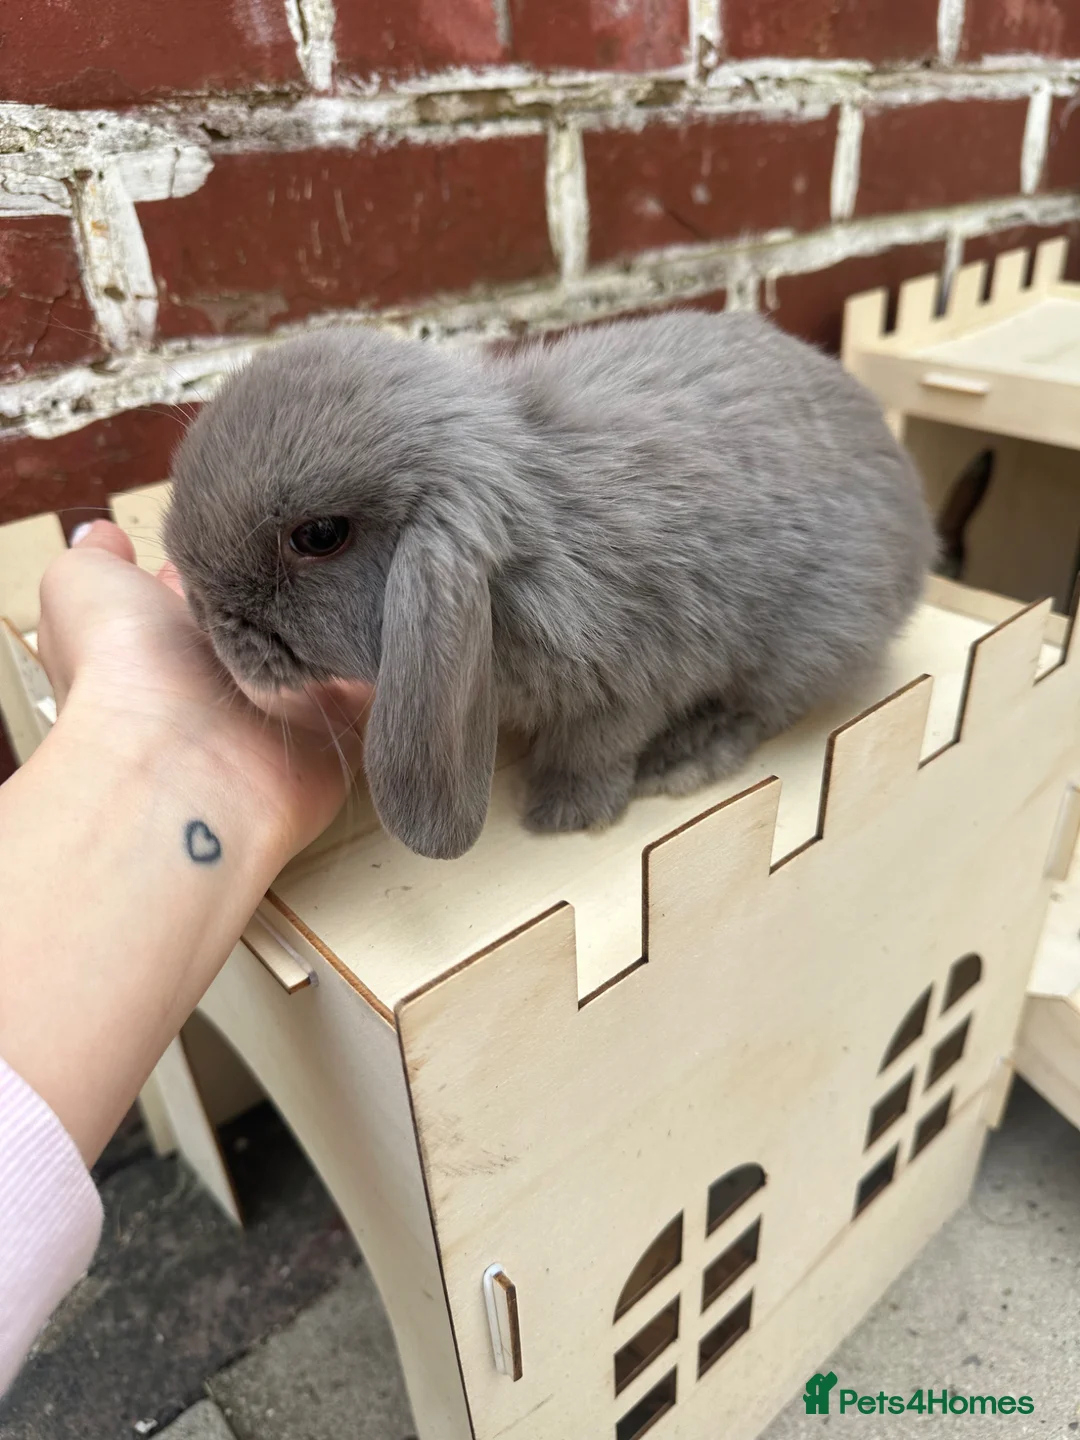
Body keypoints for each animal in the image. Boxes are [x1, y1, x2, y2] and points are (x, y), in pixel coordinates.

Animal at [163, 309, 936, 862]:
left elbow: (592, 749)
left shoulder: (633, 683)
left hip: (810, 638)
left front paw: (562, 814)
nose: (206, 618)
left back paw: (685, 755)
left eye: (320, 536)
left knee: (760, 706)